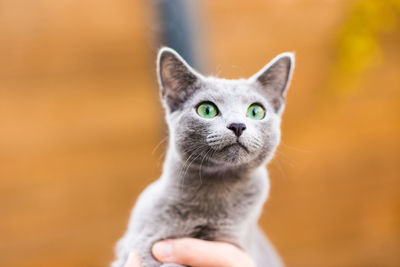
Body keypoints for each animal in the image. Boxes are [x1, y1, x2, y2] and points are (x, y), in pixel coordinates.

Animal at [111, 47, 294, 266]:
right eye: (207, 110)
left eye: (256, 111)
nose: (237, 125)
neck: (216, 186)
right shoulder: (142, 240)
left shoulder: (232, 242)